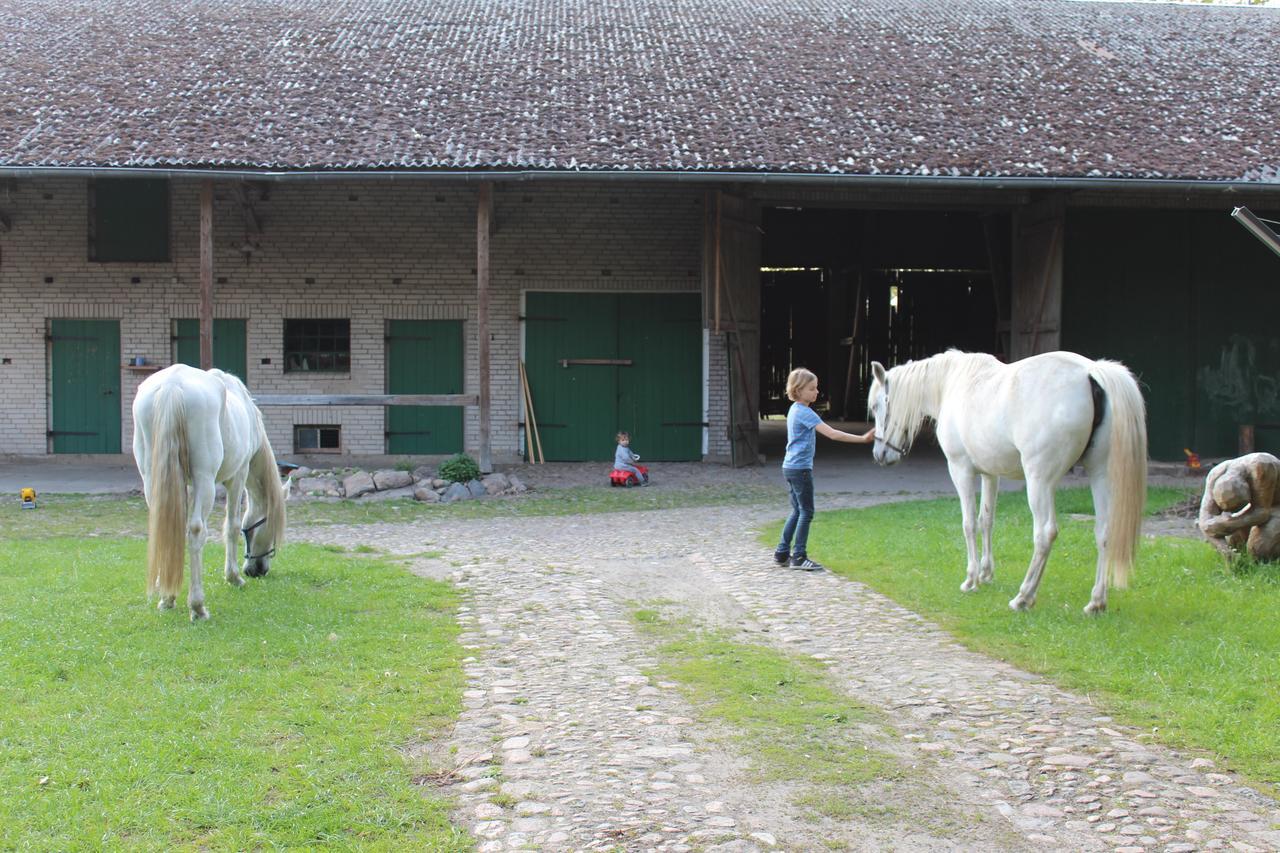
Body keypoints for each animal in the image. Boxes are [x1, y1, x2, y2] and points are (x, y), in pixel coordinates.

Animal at [131, 363, 285, 617]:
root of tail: (172, 385)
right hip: (205, 480)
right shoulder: (238, 475)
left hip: (151, 478)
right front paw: (233, 577)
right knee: (196, 532)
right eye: (270, 529)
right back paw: (197, 605)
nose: (257, 570)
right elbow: (232, 526)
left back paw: (167, 598)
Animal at [870, 348, 1152, 614]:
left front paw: (971, 579)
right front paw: (986, 574)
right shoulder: (989, 474)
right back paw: (1096, 602)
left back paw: (1023, 597)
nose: (879, 454)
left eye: (876, 406)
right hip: (1099, 474)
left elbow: (969, 523)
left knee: (1045, 533)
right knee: (1103, 532)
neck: (952, 383)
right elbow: (986, 520)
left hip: (1040, 482)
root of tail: (1091, 372)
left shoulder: (961, 470)